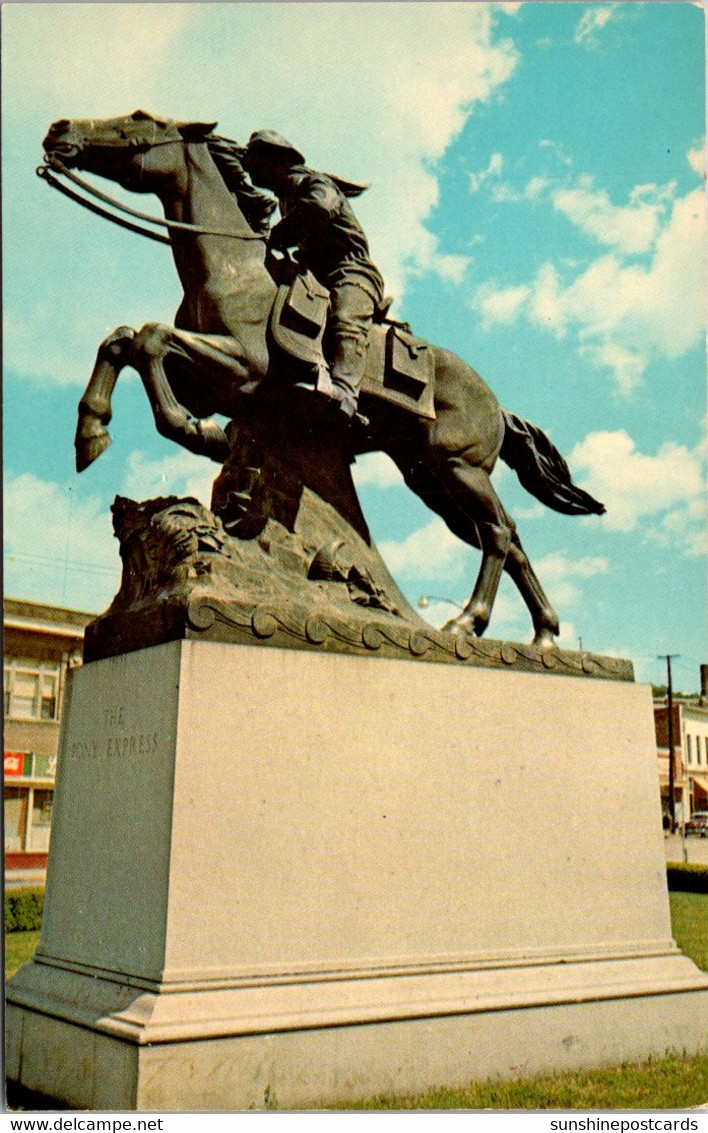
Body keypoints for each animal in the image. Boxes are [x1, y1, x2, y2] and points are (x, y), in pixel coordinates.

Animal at [41, 114, 602, 652]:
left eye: (142, 120)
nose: (59, 129)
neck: (235, 271)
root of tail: (495, 403)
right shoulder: (213, 380)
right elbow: (122, 339)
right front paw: (91, 433)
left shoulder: (244, 371)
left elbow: (152, 339)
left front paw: (196, 431)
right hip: (431, 481)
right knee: (510, 537)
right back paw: (543, 634)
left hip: (460, 468)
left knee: (498, 533)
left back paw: (467, 622)